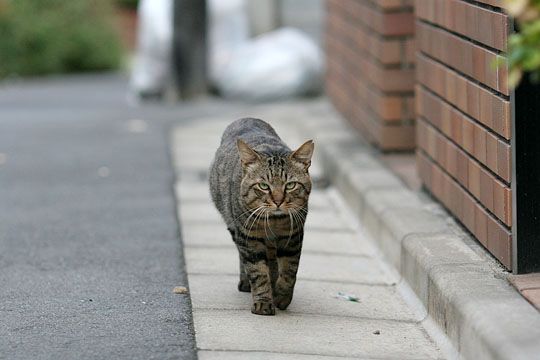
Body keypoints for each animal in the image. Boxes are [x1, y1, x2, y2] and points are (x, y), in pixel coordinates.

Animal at [209, 118, 314, 316]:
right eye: (264, 186)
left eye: (290, 185)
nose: (278, 201)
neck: (274, 221)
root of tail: (246, 118)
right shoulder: (249, 239)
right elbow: (258, 272)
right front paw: (264, 302)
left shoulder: (292, 237)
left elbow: (289, 270)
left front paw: (282, 296)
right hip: (235, 227)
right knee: (245, 259)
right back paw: (247, 282)